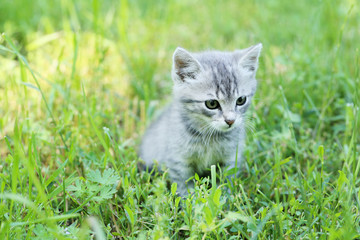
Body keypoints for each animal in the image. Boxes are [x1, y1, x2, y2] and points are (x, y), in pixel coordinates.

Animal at [140, 44, 262, 196]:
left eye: (241, 100)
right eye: (212, 103)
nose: (230, 121)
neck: (210, 136)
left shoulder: (230, 157)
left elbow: (226, 181)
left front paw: (225, 197)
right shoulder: (178, 161)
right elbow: (184, 186)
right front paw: (190, 199)